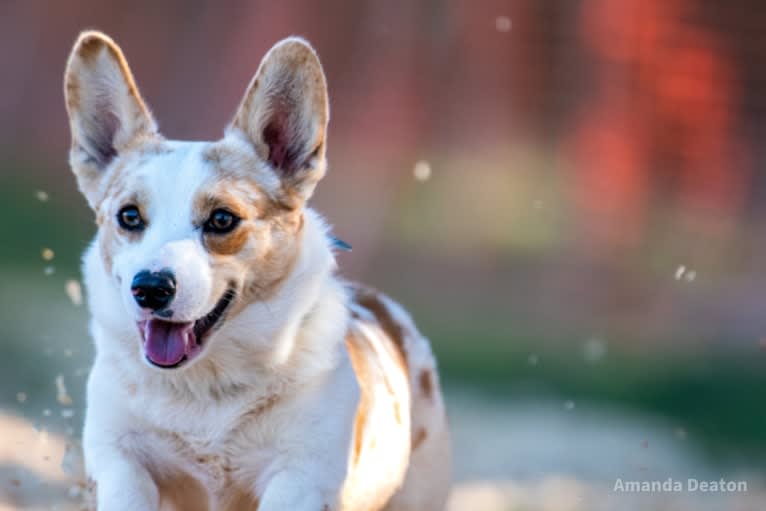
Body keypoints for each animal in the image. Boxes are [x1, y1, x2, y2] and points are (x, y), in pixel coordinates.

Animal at [66, 32, 452, 511]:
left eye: (222, 219)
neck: (204, 392)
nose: (150, 288)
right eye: (129, 216)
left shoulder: (298, 477)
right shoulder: (120, 459)